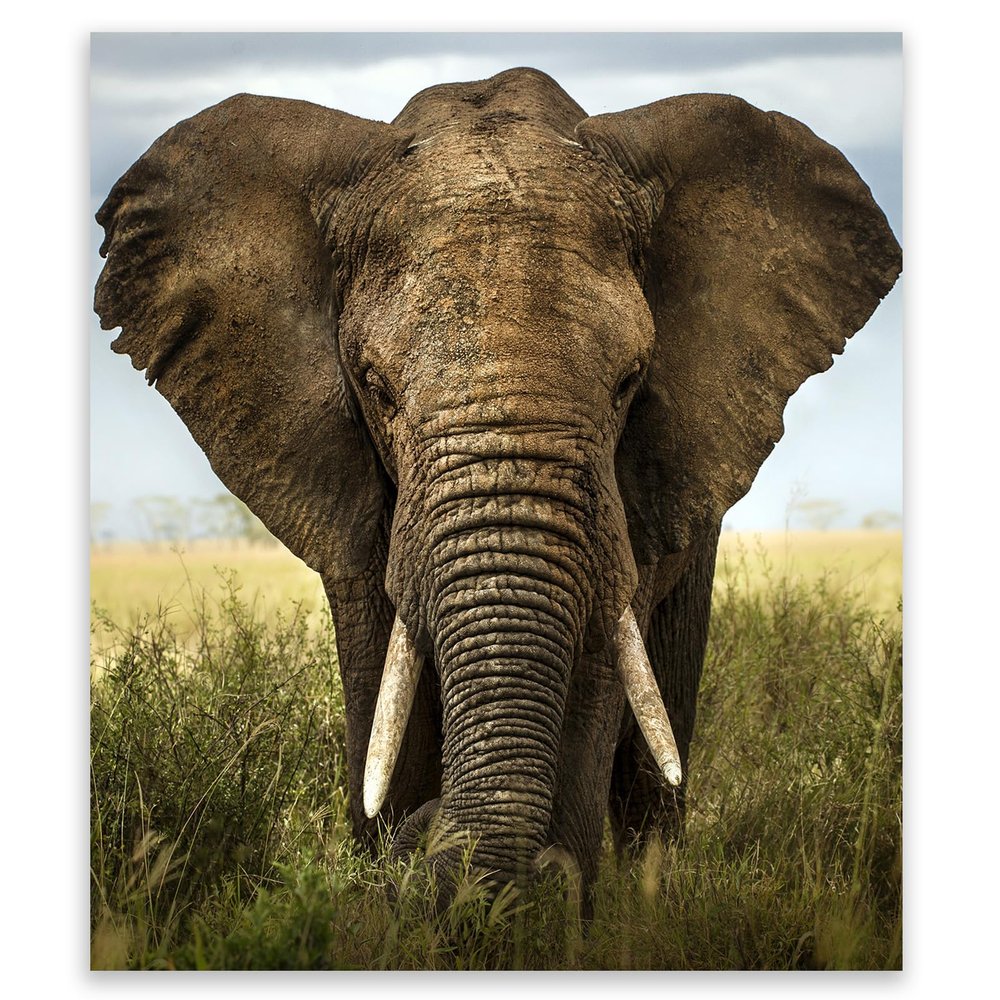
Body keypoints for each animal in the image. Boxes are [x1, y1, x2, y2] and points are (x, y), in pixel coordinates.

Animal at [94, 67, 901, 909]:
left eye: (629, 382)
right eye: (376, 388)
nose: (428, 834)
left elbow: (597, 664)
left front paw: (545, 908)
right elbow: (383, 670)